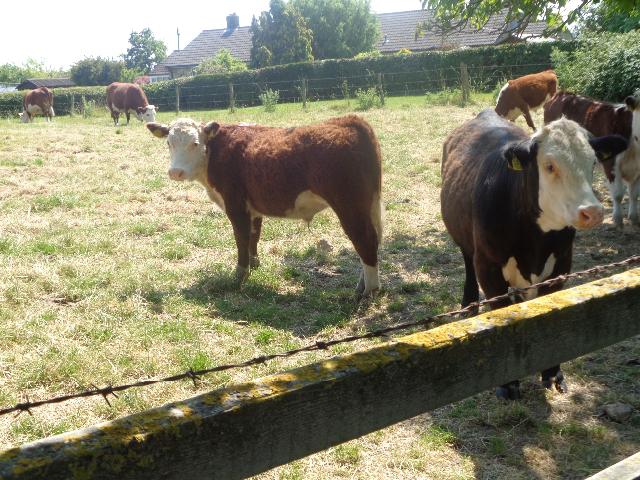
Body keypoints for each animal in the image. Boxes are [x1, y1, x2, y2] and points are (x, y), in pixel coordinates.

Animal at [146, 115, 383, 297]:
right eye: (169, 143)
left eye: (195, 143)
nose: (175, 172)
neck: (215, 152)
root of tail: (350, 121)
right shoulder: (253, 208)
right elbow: (254, 236)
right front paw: (255, 265)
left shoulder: (235, 205)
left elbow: (241, 239)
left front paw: (239, 276)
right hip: (370, 204)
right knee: (374, 240)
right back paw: (362, 285)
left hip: (350, 206)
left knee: (365, 240)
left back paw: (368, 291)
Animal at [441, 109, 627, 399]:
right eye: (549, 165)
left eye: (593, 162)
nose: (593, 212)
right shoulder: (488, 267)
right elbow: (501, 316)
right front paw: (508, 384)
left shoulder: (562, 264)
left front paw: (552, 373)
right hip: (464, 242)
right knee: (468, 266)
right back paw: (468, 305)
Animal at [544, 91, 640, 229]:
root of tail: (561, 93)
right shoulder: (611, 165)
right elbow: (618, 194)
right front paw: (617, 219)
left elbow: (634, 194)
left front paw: (634, 218)